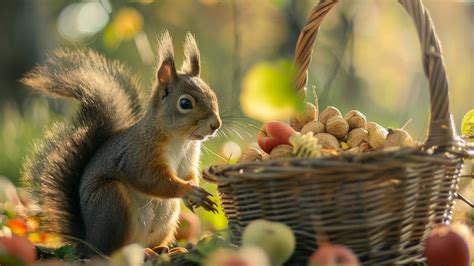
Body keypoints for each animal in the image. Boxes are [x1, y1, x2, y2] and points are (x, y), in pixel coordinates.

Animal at [21, 31, 221, 256]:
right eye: (185, 103)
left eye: (213, 95)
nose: (215, 125)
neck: (181, 140)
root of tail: (89, 242)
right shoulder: (138, 154)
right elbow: (150, 179)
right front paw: (187, 191)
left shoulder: (188, 158)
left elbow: (187, 174)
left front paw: (194, 193)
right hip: (112, 203)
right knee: (111, 251)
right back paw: (141, 252)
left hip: (166, 218)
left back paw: (165, 249)